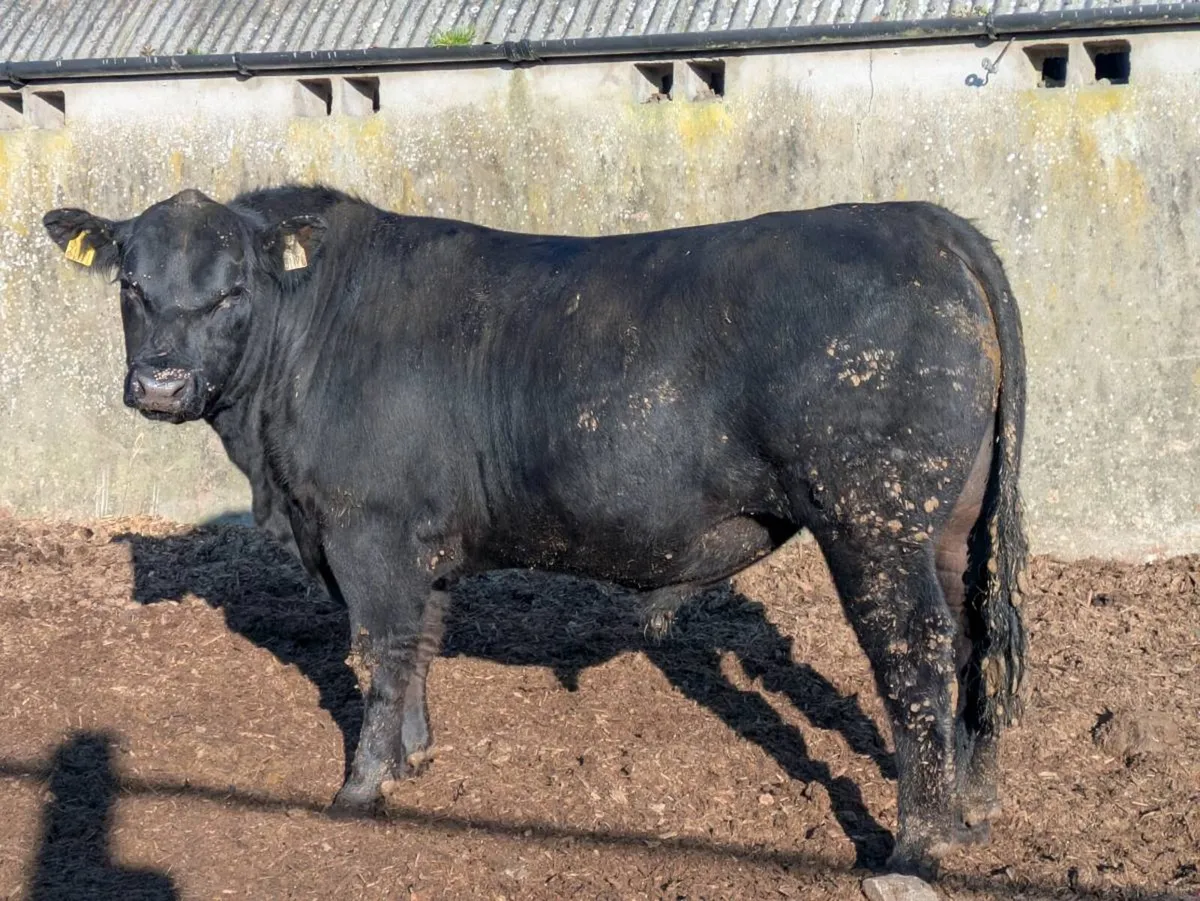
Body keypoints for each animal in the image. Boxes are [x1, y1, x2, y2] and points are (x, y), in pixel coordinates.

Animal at [44, 186, 1027, 874]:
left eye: (231, 290)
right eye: (130, 282)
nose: (160, 382)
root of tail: (924, 220)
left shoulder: (368, 532)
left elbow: (380, 650)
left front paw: (361, 786)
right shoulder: (420, 544)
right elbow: (419, 649)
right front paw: (416, 757)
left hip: (875, 522)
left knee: (913, 655)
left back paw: (917, 843)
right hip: (948, 526)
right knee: (968, 639)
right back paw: (974, 801)